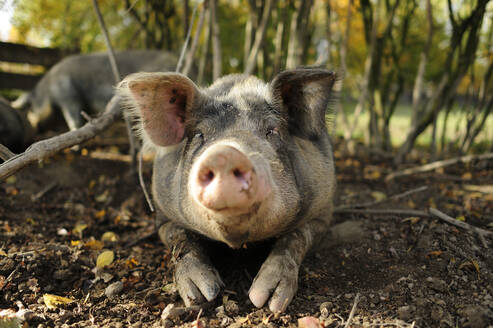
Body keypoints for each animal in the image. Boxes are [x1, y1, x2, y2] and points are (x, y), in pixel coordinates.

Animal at [117, 68, 336, 312]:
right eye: (199, 135)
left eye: (272, 130)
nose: (225, 154)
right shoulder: (163, 216)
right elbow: (181, 238)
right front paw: (202, 296)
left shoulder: (323, 211)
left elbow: (294, 238)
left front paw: (267, 302)